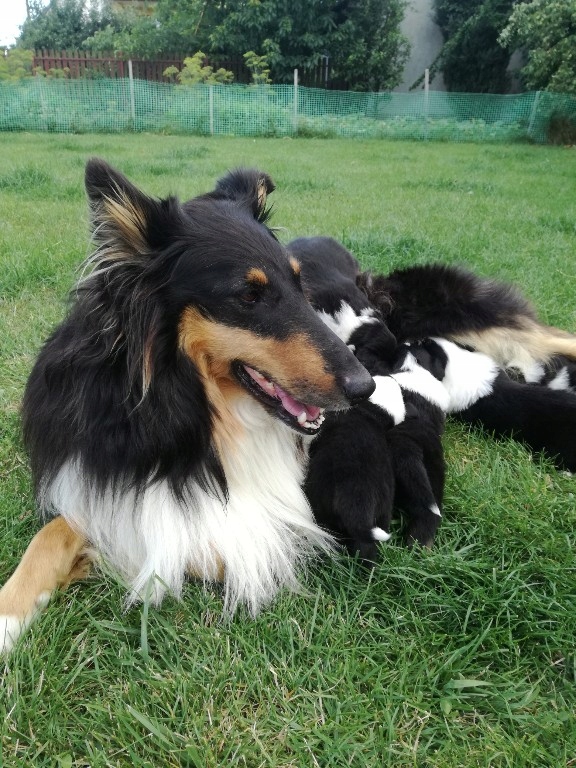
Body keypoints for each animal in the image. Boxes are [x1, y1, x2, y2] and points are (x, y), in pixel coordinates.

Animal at [0, 159, 374, 652]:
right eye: (249, 296)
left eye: (299, 285)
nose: (365, 386)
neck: (190, 404)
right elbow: (53, 533)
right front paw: (8, 614)